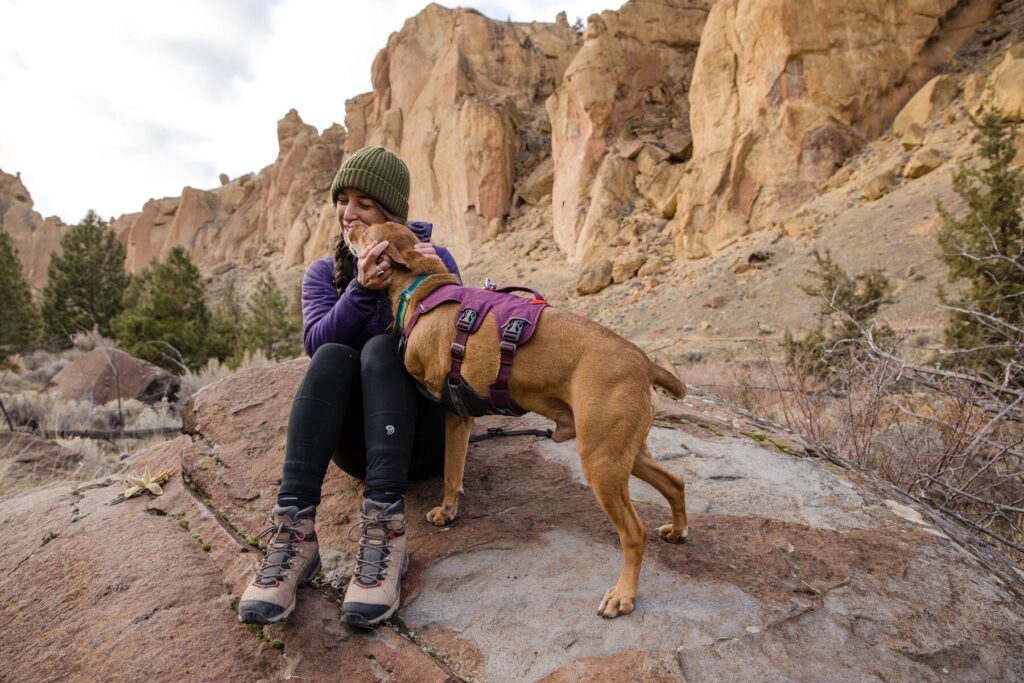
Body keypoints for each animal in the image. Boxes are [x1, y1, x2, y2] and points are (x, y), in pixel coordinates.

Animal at [344, 222, 688, 618]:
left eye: (367, 234)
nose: (348, 225)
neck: (419, 287)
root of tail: (644, 363)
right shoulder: (462, 416)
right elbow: (455, 474)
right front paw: (451, 510)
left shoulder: (453, 413)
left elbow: (449, 474)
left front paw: (446, 512)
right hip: (625, 453)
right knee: (675, 483)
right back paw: (678, 530)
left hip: (602, 462)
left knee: (634, 533)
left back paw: (623, 595)